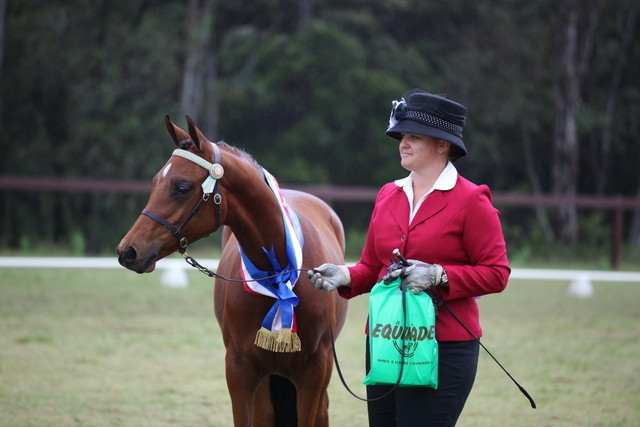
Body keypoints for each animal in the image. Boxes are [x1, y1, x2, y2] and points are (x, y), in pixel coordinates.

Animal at [116, 116, 348, 426]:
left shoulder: (315, 372)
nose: (127, 251)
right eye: (155, 183)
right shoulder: (239, 370)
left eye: (181, 187)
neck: (278, 274)